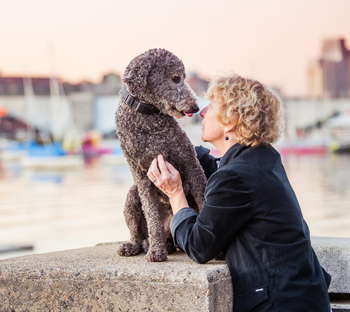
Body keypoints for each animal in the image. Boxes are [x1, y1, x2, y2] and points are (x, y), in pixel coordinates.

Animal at [115, 48, 208, 262]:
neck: (147, 118)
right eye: (175, 78)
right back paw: (136, 245)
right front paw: (156, 251)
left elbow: (203, 199)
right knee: (139, 235)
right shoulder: (141, 176)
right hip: (132, 196)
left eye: (183, 77)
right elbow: (152, 217)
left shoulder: (190, 163)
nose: (195, 108)